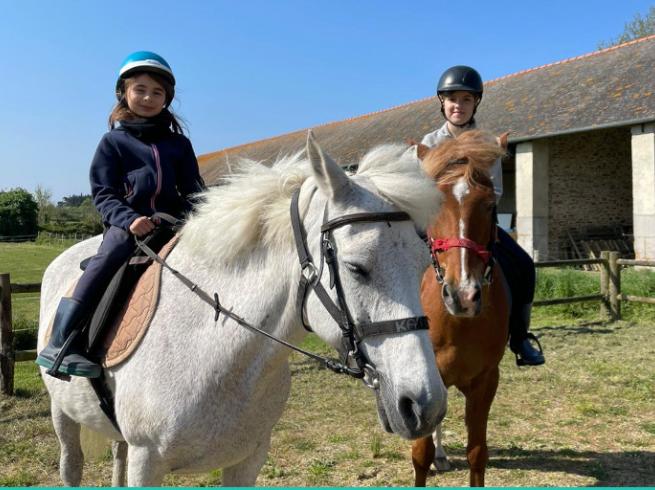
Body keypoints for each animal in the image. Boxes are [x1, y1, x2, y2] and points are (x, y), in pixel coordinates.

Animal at [38, 134, 448, 486]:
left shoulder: (247, 459)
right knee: (71, 465)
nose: (425, 406)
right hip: (63, 416)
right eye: (356, 268)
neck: (213, 349)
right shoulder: (147, 461)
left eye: (422, 267)